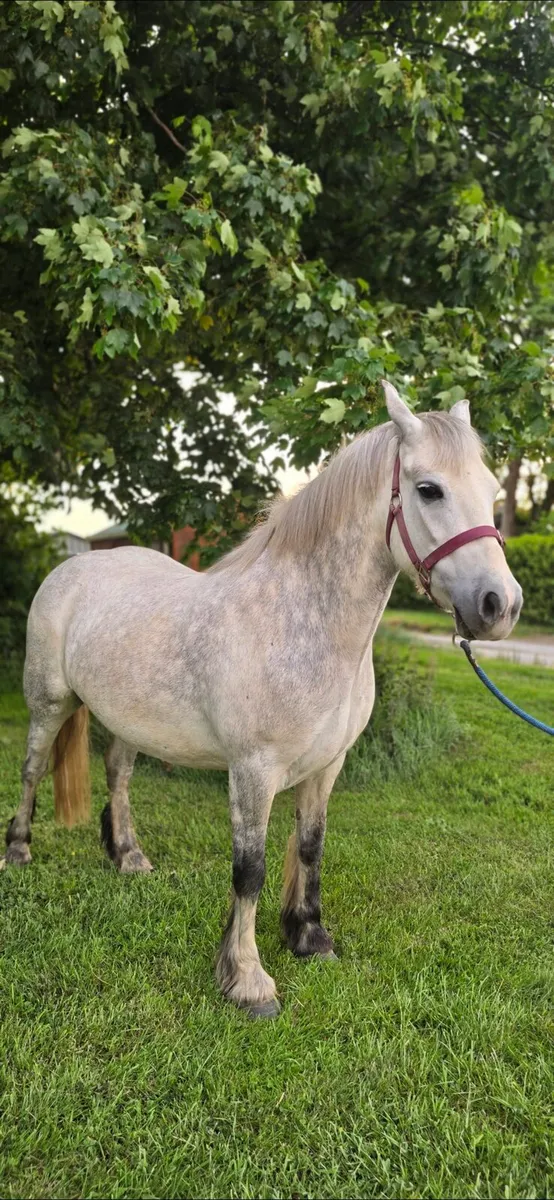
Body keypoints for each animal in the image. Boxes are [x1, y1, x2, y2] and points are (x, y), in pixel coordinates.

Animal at [3, 383, 522, 1017]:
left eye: (492, 490)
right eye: (429, 489)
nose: (500, 605)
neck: (301, 622)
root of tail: (74, 565)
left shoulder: (327, 766)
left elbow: (310, 847)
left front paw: (309, 937)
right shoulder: (253, 771)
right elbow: (249, 871)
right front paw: (248, 980)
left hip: (128, 720)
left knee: (118, 775)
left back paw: (129, 857)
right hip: (48, 703)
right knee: (32, 768)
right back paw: (18, 851)